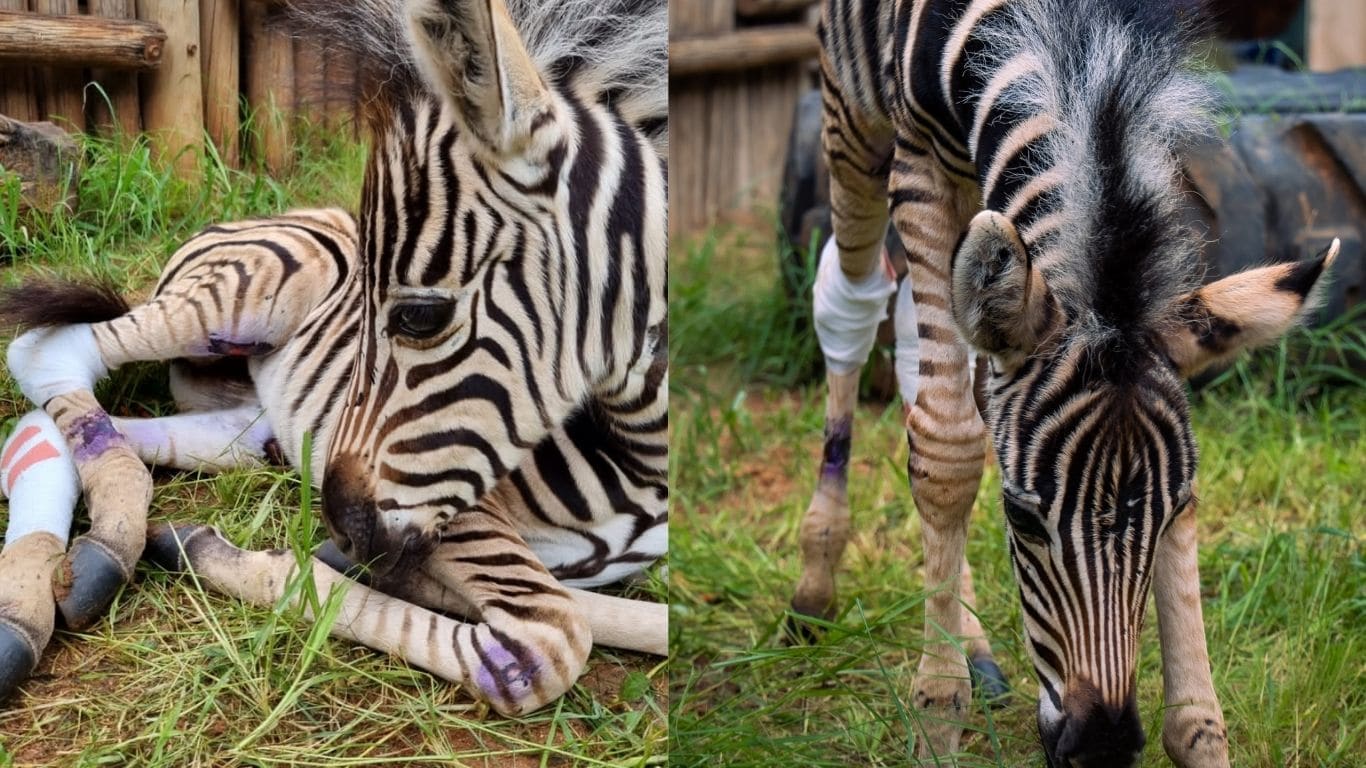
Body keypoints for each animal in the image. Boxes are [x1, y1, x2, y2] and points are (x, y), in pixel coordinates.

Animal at [0, 0, 666, 716]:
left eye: (420, 316)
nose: (342, 529)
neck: (640, 468)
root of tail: (264, 216)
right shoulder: (460, 512)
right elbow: (548, 637)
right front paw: (280, 561)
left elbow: (627, 619)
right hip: (244, 294)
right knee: (46, 352)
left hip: (244, 424)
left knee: (74, 426)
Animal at [797, 1, 1338, 759]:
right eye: (1022, 517)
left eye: (1176, 509)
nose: (1103, 748)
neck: (1078, 42)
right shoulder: (919, 159)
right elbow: (946, 451)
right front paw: (936, 714)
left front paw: (1199, 733)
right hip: (854, 123)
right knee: (852, 298)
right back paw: (815, 583)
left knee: (920, 341)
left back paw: (973, 642)